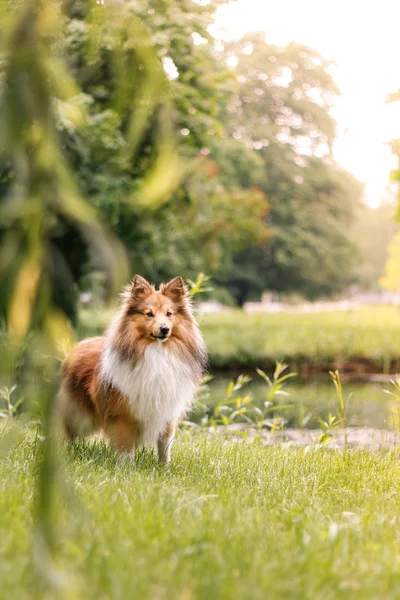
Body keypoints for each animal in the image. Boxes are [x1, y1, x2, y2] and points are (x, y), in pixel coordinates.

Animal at [57, 276, 208, 464]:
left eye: (169, 314)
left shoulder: (167, 412)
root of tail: (76, 347)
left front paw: (164, 467)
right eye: (149, 314)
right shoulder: (123, 415)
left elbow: (164, 446)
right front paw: (126, 468)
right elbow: (126, 449)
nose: (165, 329)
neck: (156, 351)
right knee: (65, 431)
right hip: (79, 415)